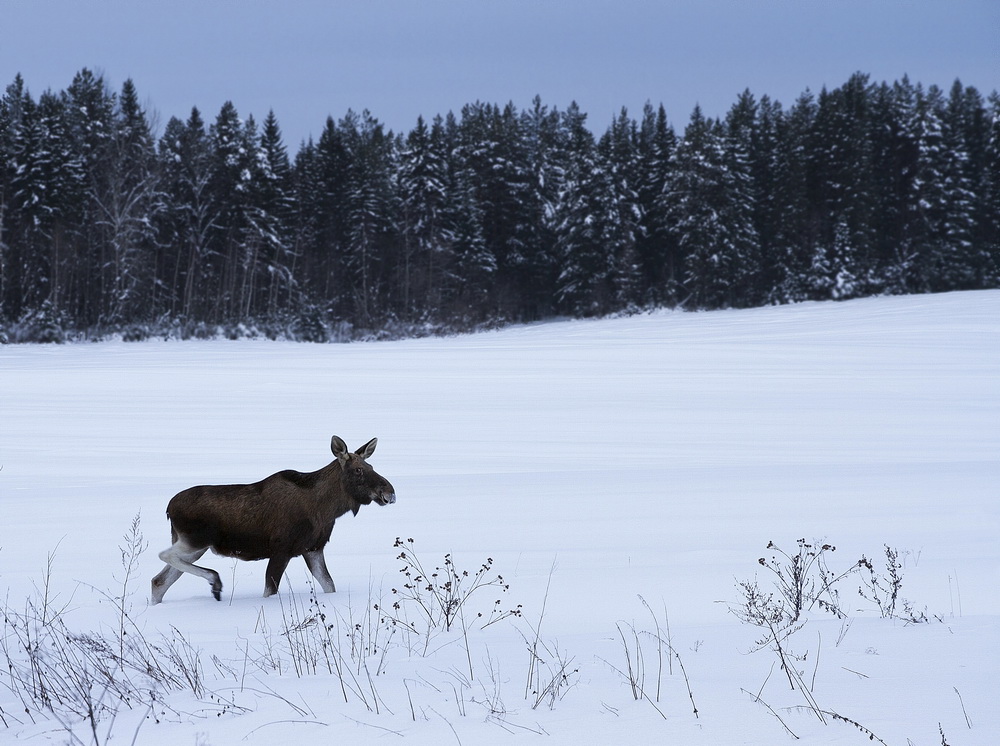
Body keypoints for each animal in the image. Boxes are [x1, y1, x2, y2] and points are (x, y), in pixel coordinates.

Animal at [150, 436, 396, 604]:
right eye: (358, 470)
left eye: (370, 466)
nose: (390, 492)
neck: (327, 509)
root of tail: (169, 508)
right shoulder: (281, 549)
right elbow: (270, 590)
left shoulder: (313, 548)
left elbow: (329, 584)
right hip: (195, 541)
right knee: (164, 556)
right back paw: (215, 581)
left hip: (194, 546)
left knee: (159, 581)